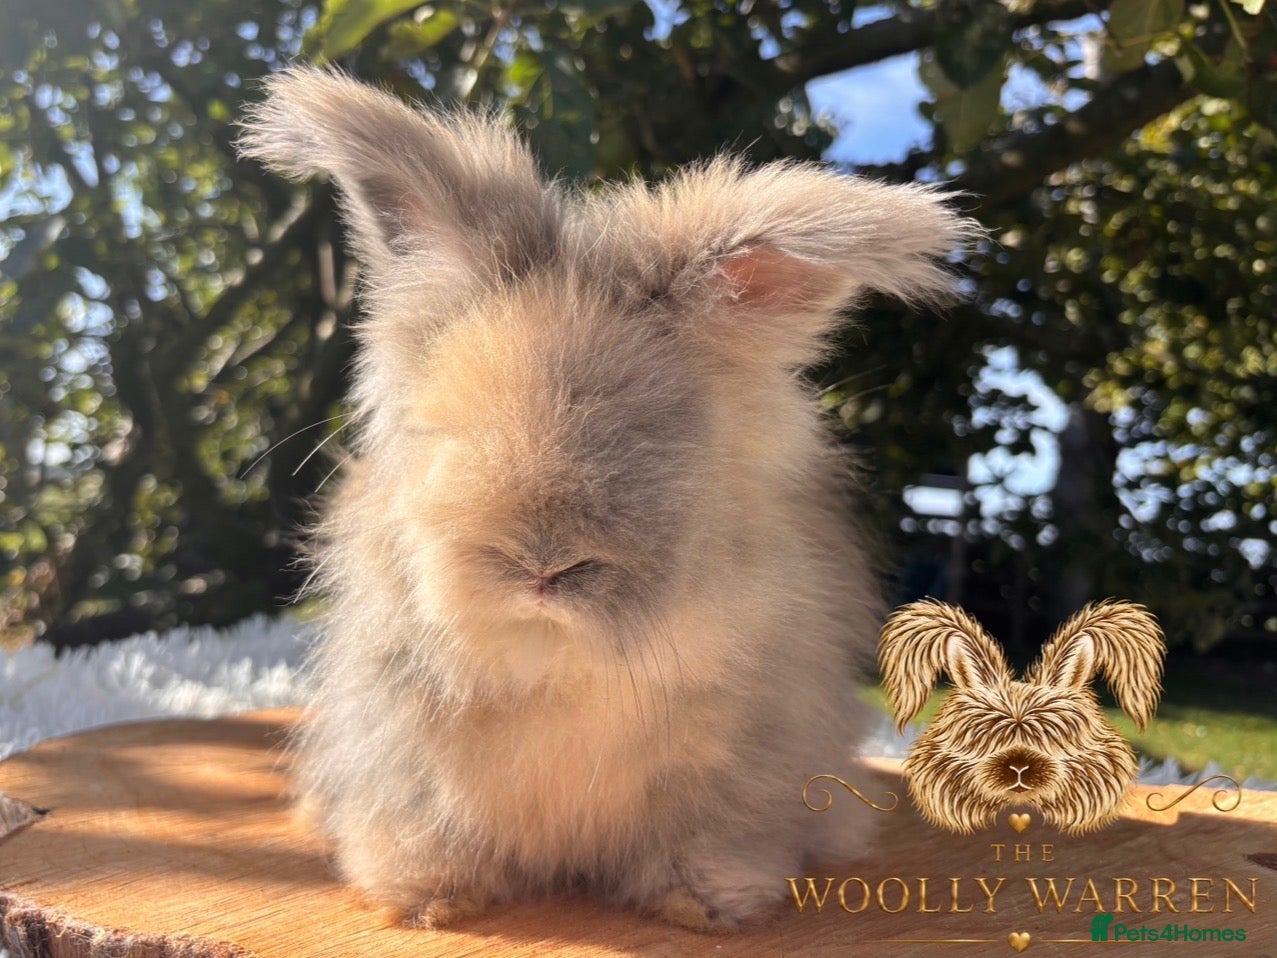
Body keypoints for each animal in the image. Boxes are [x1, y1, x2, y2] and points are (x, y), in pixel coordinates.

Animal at [237, 66, 977, 931]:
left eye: (648, 437)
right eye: (446, 430)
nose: (540, 564)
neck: (556, 657)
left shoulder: (752, 751)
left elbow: (713, 834)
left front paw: (709, 902)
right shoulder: (400, 749)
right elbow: (428, 828)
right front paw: (430, 899)